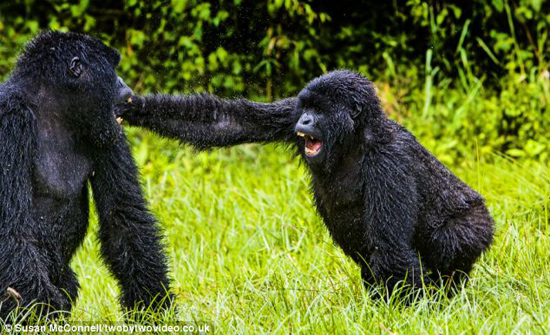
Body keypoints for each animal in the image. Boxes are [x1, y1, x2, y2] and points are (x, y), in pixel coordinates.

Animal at [0, 32, 172, 320]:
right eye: (112, 68)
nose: (124, 83)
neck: (52, 109)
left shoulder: (108, 128)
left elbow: (124, 218)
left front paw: (153, 310)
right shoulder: (9, 120)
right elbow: (10, 232)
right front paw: (45, 314)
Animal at [116, 70, 496, 300]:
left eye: (321, 110)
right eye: (308, 107)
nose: (307, 120)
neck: (355, 135)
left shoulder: (390, 160)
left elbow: (391, 248)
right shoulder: (289, 111)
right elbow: (225, 121)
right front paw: (136, 107)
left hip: (479, 223)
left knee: (452, 240)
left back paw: (448, 292)